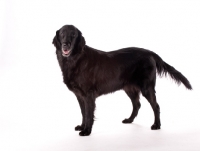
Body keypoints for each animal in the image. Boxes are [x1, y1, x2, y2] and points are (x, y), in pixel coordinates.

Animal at [52, 25, 191, 137]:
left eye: (73, 35)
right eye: (62, 34)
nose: (66, 44)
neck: (75, 60)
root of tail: (149, 52)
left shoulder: (88, 95)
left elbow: (88, 114)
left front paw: (86, 131)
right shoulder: (80, 95)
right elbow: (83, 112)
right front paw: (82, 126)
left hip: (147, 87)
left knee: (156, 106)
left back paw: (156, 125)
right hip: (129, 88)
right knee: (137, 105)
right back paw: (129, 120)